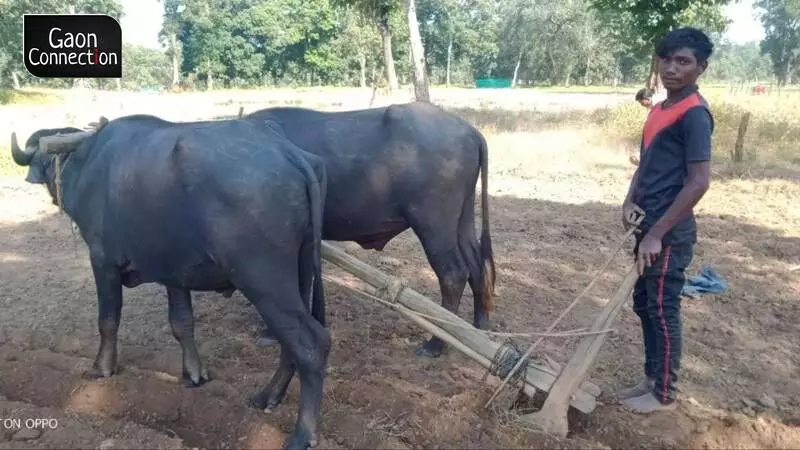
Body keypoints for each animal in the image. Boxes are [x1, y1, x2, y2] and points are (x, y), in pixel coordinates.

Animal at [9, 116, 328, 450]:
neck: (87, 161)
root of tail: (291, 154)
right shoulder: (176, 274)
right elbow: (182, 322)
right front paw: (193, 374)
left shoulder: (102, 262)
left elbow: (108, 321)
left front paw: (101, 368)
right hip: (301, 274)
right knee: (290, 341)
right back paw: (269, 396)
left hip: (264, 282)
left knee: (311, 342)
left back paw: (302, 434)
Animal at [244, 103, 494, 358]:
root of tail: (471, 132)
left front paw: (270, 333)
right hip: (463, 220)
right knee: (477, 266)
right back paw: (479, 329)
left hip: (434, 225)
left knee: (453, 274)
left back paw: (435, 344)